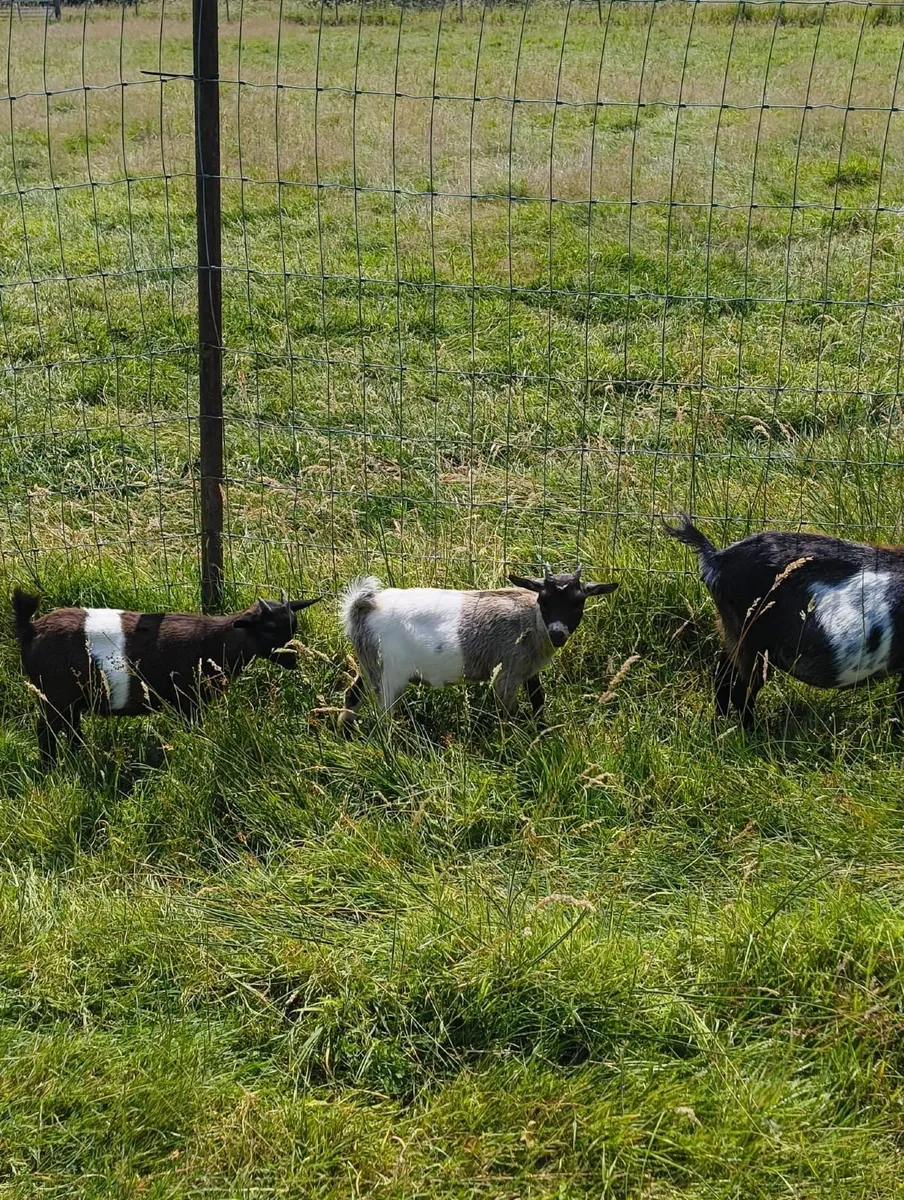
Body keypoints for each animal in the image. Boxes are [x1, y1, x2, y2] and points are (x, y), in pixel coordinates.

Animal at [12, 589, 320, 761]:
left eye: (294, 625)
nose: (293, 660)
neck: (216, 641)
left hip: (70, 700)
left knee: (71, 728)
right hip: (55, 697)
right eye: (268, 630)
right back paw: (50, 767)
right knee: (45, 730)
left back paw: (78, 755)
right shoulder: (188, 702)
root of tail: (31, 629)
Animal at [338, 565, 618, 733]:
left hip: (368, 664)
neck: (531, 619)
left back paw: (345, 731)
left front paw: (541, 732)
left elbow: (538, 699)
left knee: (352, 694)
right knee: (383, 715)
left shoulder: (528, 669)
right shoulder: (507, 673)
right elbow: (510, 713)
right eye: (544, 600)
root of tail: (363, 607)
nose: (558, 633)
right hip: (389, 675)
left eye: (578, 602)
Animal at [664, 511, 904, 725]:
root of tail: (716, 558)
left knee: (723, 675)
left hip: (734, 632)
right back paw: (752, 732)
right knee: (742, 689)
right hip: (752, 639)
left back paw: (722, 723)